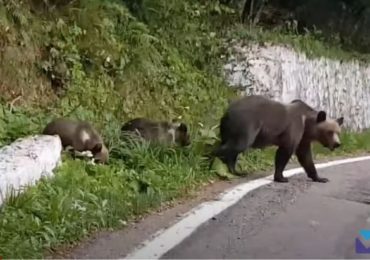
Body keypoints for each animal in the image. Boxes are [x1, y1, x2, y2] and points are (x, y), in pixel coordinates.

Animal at [211, 95, 344, 183]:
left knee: (233, 149)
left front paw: (320, 177)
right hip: (246, 124)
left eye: (338, 132)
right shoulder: (294, 128)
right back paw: (212, 161)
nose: (337, 144)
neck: (306, 124)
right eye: (329, 132)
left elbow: (305, 157)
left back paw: (237, 171)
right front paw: (282, 177)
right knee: (238, 145)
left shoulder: (303, 138)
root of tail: (226, 112)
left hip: (229, 130)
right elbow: (285, 151)